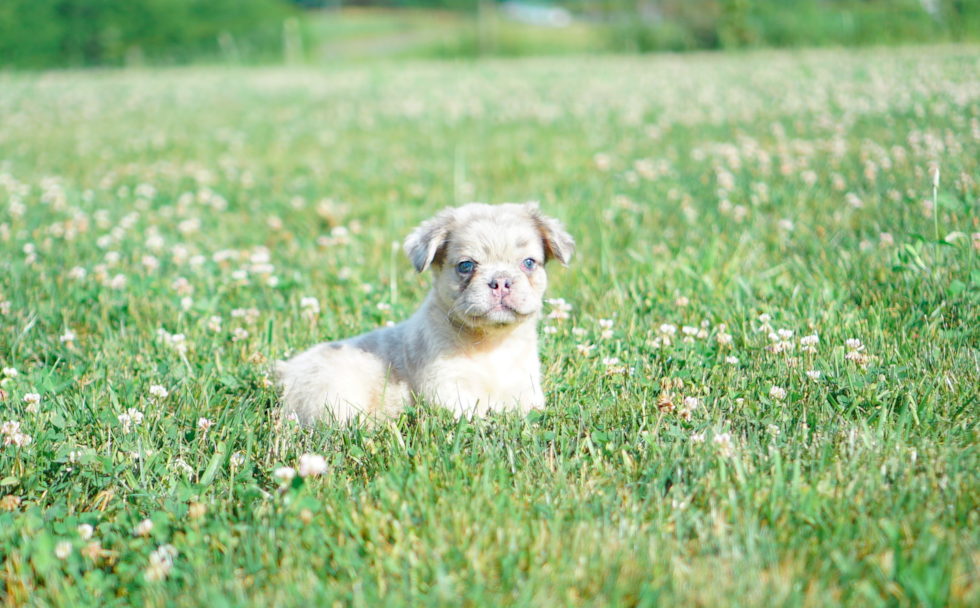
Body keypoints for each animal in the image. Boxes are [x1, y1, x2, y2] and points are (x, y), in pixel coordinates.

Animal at [276, 202, 576, 426]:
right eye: (466, 266)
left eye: (529, 263)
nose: (501, 281)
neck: (492, 345)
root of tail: (286, 371)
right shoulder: (449, 390)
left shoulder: (526, 391)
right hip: (336, 396)